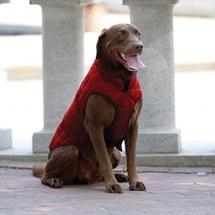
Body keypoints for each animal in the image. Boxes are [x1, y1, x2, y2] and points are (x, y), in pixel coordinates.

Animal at [32, 23, 145, 193]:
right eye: (121, 35)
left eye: (138, 34)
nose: (139, 46)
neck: (122, 82)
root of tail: (88, 177)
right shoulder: (95, 126)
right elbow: (104, 159)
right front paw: (112, 184)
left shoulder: (133, 125)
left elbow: (132, 159)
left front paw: (134, 182)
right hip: (69, 150)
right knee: (46, 174)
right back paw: (54, 180)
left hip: (116, 153)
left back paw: (119, 176)